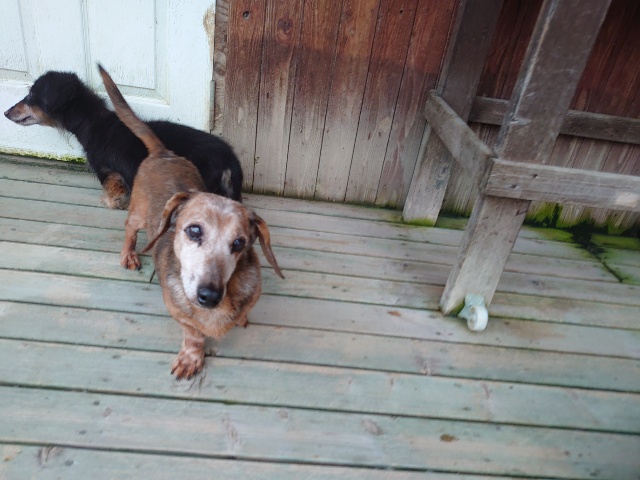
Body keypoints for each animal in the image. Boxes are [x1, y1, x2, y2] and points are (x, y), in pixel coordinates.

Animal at [4, 70, 242, 209]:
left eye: (31, 96)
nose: (6, 113)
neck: (93, 123)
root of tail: (227, 161)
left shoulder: (108, 172)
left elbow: (113, 194)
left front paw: (111, 202)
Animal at [99, 65, 284, 379]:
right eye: (194, 231)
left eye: (240, 243)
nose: (209, 296)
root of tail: (164, 152)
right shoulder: (178, 311)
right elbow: (193, 333)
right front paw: (192, 356)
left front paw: (241, 319)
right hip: (137, 214)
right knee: (129, 230)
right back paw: (129, 254)